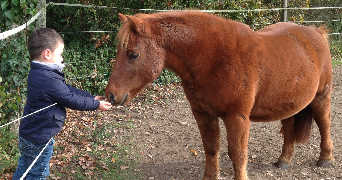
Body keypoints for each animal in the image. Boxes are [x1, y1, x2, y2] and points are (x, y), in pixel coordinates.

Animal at [105, 11, 334, 180]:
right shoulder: (203, 114)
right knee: (289, 127)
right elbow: (211, 148)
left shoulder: (237, 117)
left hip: (322, 96)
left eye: (133, 54)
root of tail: (317, 33)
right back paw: (284, 160)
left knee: (324, 124)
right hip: (288, 103)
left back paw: (326, 158)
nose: (111, 95)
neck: (214, 59)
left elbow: (238, 154)